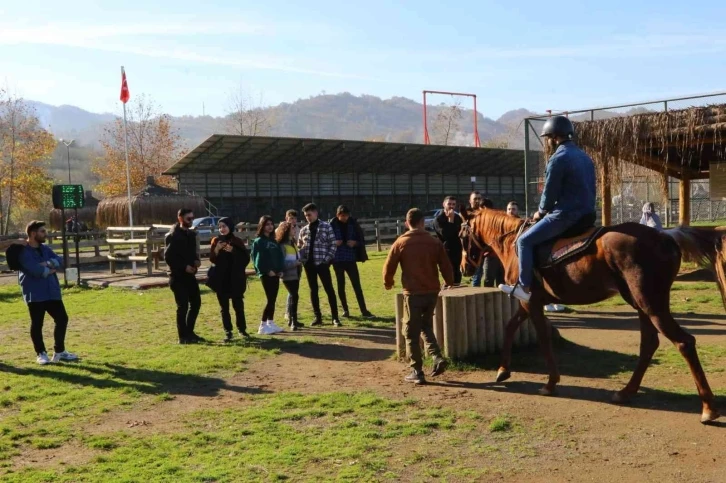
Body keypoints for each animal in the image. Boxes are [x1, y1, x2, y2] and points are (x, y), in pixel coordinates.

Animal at [464, 208, 724, 424]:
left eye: (462, 233)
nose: (464, 267)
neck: (513, 244)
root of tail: (666, 236)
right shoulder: (527, 303)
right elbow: (509, 326)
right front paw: (503, 370)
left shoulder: (531, 302)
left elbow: (543, 340)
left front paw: (550, 383)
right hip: (641, 304)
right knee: (649, 344)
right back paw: (626, 392)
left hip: (651, 305)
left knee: (684, 342)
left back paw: (708, 408)